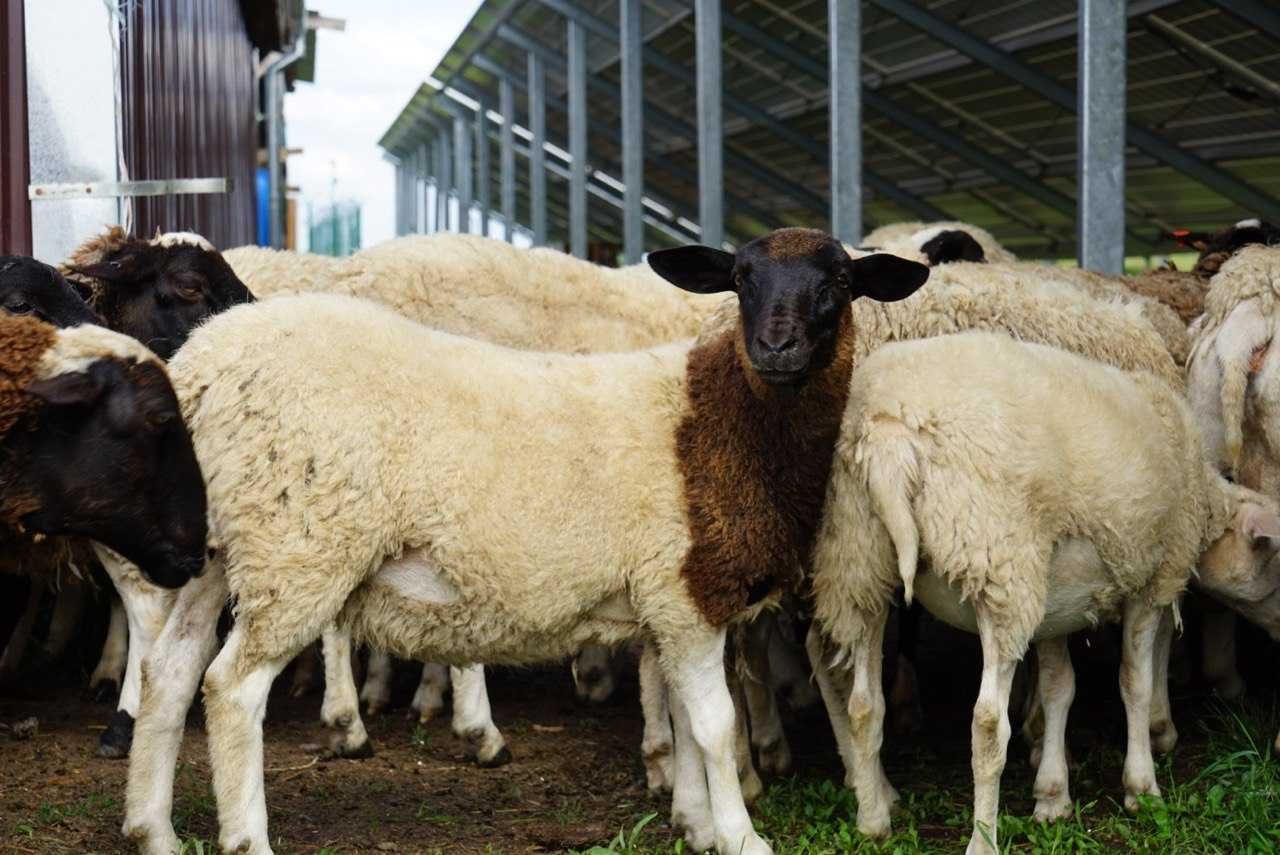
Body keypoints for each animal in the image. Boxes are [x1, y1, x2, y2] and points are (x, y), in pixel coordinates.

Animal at [122, 230, 931, 855]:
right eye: (740, 280)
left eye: (839, 282)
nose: (776, 346)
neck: (729, 419)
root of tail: (200, 370)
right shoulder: (687, 591)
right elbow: (712, 722)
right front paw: (739, 834)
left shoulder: (666, 606)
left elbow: (681, 716)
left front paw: (697, 824)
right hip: (298, 548)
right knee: (230, 689)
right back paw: (247, 835)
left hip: (218, 548)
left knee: (169, 673)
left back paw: (152, 829)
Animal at [808, 332, 1280, 855]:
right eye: (1274, 561)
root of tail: (891, 437)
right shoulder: (1152, 577)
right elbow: (1134, 683)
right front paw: (1141, 787)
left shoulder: (1056, 604)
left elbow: (1059, 689)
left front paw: (1052, 796)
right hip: (998, 567)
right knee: (987, 725)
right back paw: (982, 840)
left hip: (858, 560)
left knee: (864, 703)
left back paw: (872, 818)